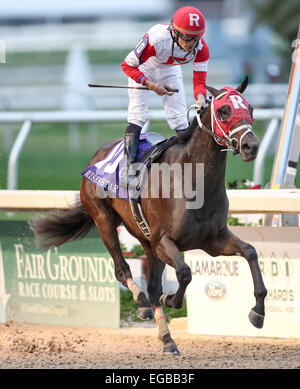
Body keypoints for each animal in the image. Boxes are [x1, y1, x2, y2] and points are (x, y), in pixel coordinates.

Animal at [29, 76, 268, 354]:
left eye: (250, 109)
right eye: (224, 110)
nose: (251, 146)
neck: (193, 180)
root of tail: (97, 155)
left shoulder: (213, 240)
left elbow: (250, 252)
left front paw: (258, 312)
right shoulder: (163, 240)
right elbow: (184, 273)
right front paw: (171, 298)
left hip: (145, 240)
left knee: (152, 285)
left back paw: (167, 338)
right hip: (105, 221)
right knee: (123, 270)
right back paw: (142, 303)